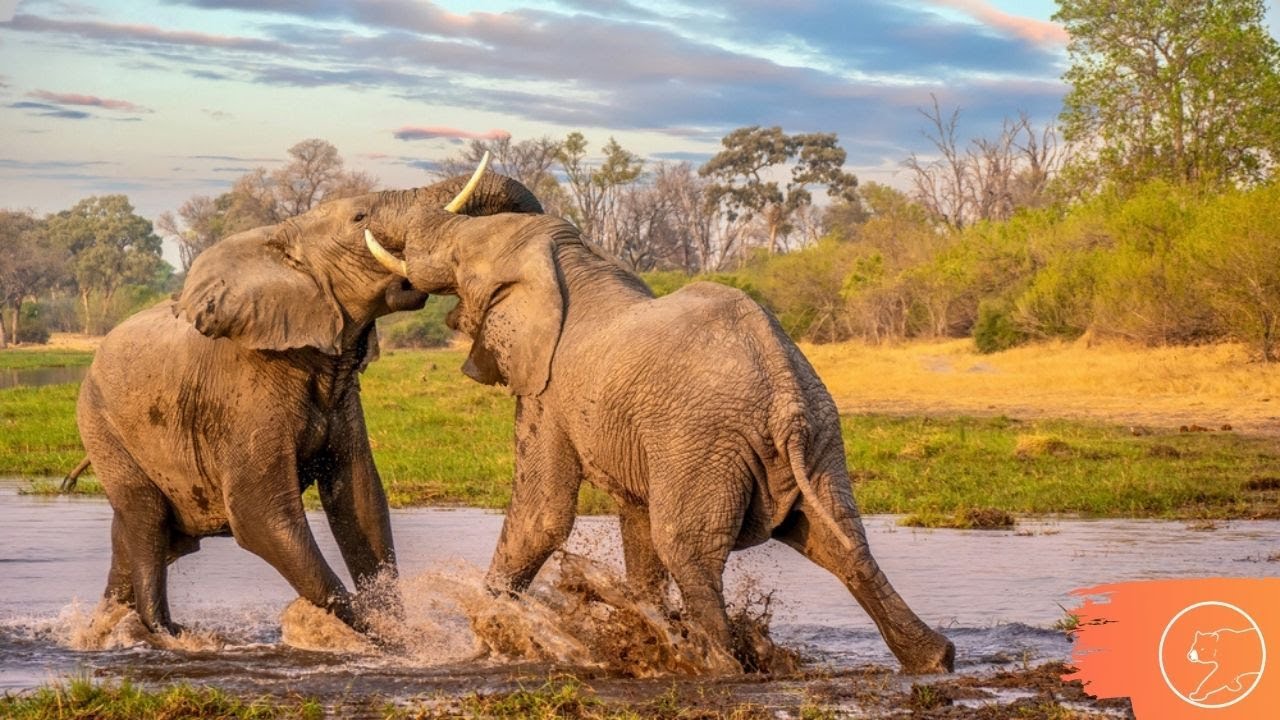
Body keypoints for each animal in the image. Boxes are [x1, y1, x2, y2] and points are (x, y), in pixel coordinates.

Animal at [76, 160, 542, 638]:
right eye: (360, 218)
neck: (284, 238)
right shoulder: (247, 392)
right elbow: (259, 516)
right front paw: (378, 635)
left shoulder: (341, 397)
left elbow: (360, 500)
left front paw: (395, 630)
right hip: (101, 425)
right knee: (146, 522)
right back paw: (168, 633)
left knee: (140, 539)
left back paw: (104, 627)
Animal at [365, 211, 956, 674]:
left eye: (458, 256)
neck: (570, 260)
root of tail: (783, 388)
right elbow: (635, 520)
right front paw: (640, 627)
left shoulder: (547, 392)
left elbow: (542, 514)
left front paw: (488, 641)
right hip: (819, 438)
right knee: (843, 542)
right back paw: (933, 659)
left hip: (703, 440)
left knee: (688, 550)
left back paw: (714, 664)